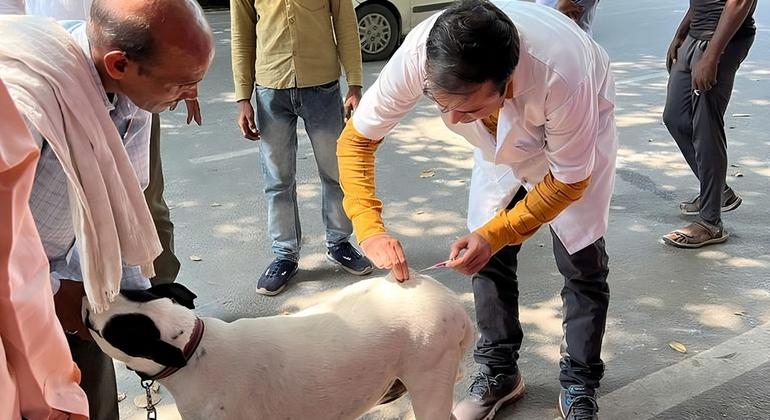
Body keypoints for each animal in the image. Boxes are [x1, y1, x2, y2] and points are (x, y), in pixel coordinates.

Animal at [81, 270, 472, 418]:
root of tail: (452, 302)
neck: (193, 348)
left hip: (429, 382)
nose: (86, 299)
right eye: (128, 290)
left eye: (108, 332)